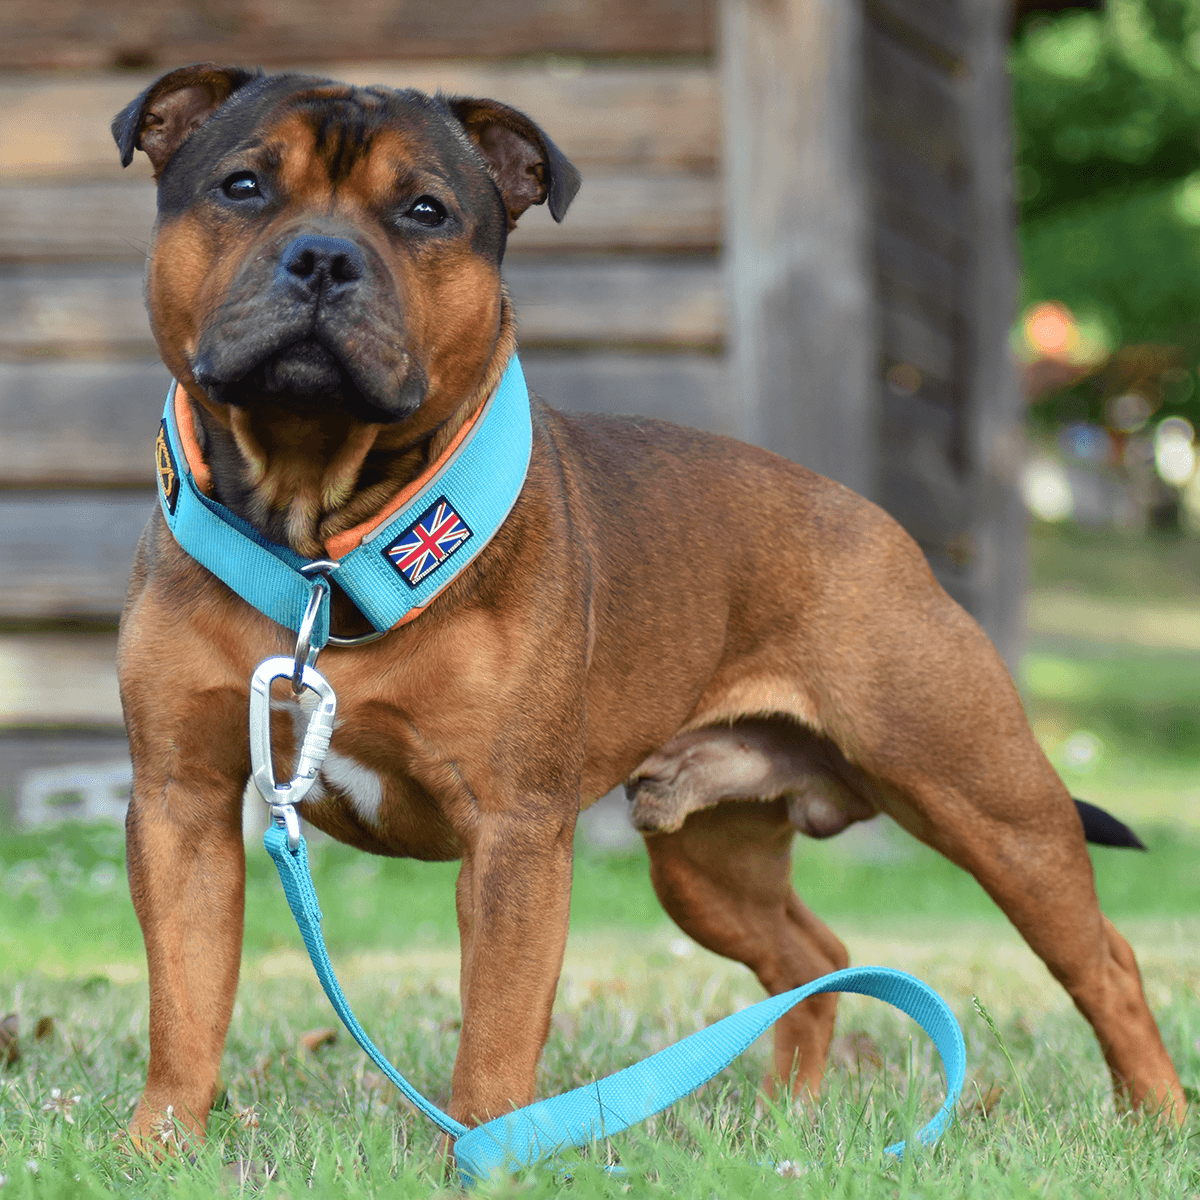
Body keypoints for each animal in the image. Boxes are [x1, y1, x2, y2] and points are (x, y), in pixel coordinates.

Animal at [110, 63, 1180, 1142]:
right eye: (243, 186)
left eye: (426, 211)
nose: (324, 257)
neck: (320, 556)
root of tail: (881, 527)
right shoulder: (181, 805)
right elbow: (185, 1003)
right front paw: (163, 1147)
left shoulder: (513, 835)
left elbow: (493, 1038)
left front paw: (487, 1154)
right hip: (711, 865)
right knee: (815, 961)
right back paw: (790, 1121)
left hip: (990, 808)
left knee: (1106, 962)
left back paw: (1159, 1119)